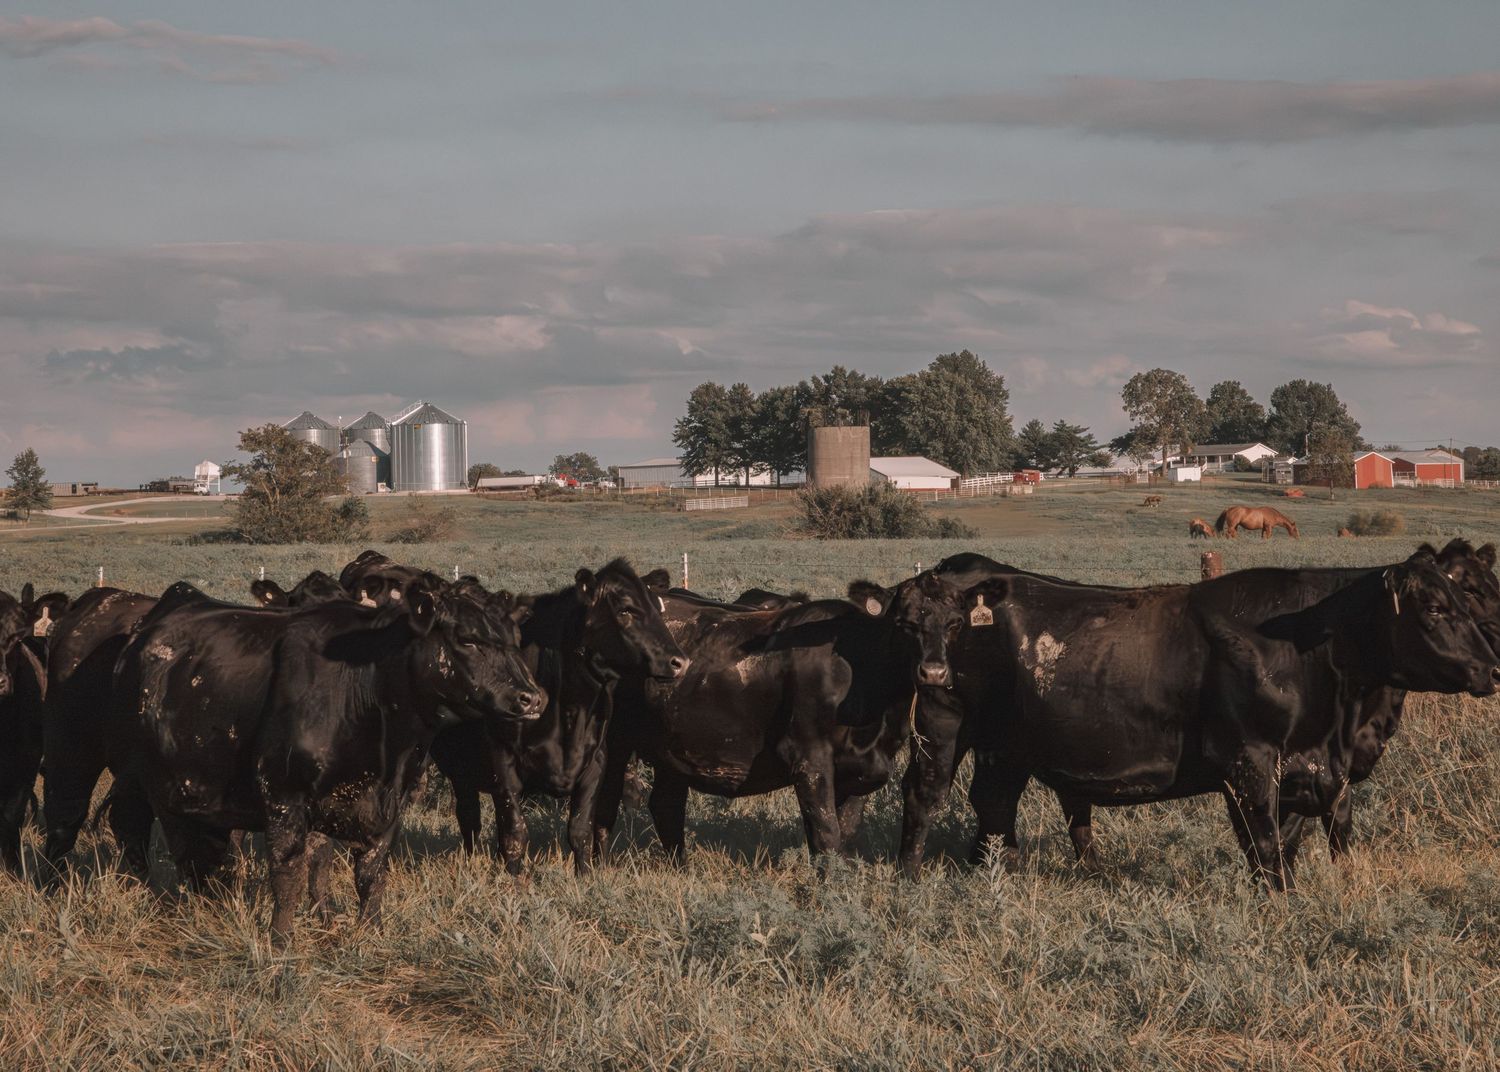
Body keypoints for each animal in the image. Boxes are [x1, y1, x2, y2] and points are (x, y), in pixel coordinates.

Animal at [103, 573, 543, 945]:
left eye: (515, 637)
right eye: (467, 639)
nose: (532, 698)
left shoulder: (389, 803)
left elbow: (365, 874)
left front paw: (368, 931)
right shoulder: (283, 795)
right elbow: (289, 875)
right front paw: (281, 942)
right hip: (149, 781)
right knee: (151, 836)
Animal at [427, 559, 688, 875]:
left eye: (657, 608)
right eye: (626, 609)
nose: (679, 661)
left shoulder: (596, 762)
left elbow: (580, 831)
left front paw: (586, 877)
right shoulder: (502, 762)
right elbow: (516, 833)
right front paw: (512, 880)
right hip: (459, 772)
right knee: (469, 819)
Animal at [592, 571, 970, 864]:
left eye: (955, 623)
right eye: (905, 624)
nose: (934, 672)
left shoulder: (866, 768)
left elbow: (845, 832)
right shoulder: (809, 760)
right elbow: (826, 834)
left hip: (673, 749)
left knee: (666, 805)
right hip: (613, 744)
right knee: (604, 802)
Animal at [955, 548, 1496, 888]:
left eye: (1466, 599)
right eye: (1434, 607)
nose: (1492, 667)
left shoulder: (1308, 773)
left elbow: (1292, 843)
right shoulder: (1248, 761)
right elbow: (1264, 844)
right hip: (1000, 750)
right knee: (994, 808)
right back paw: (996, 876)